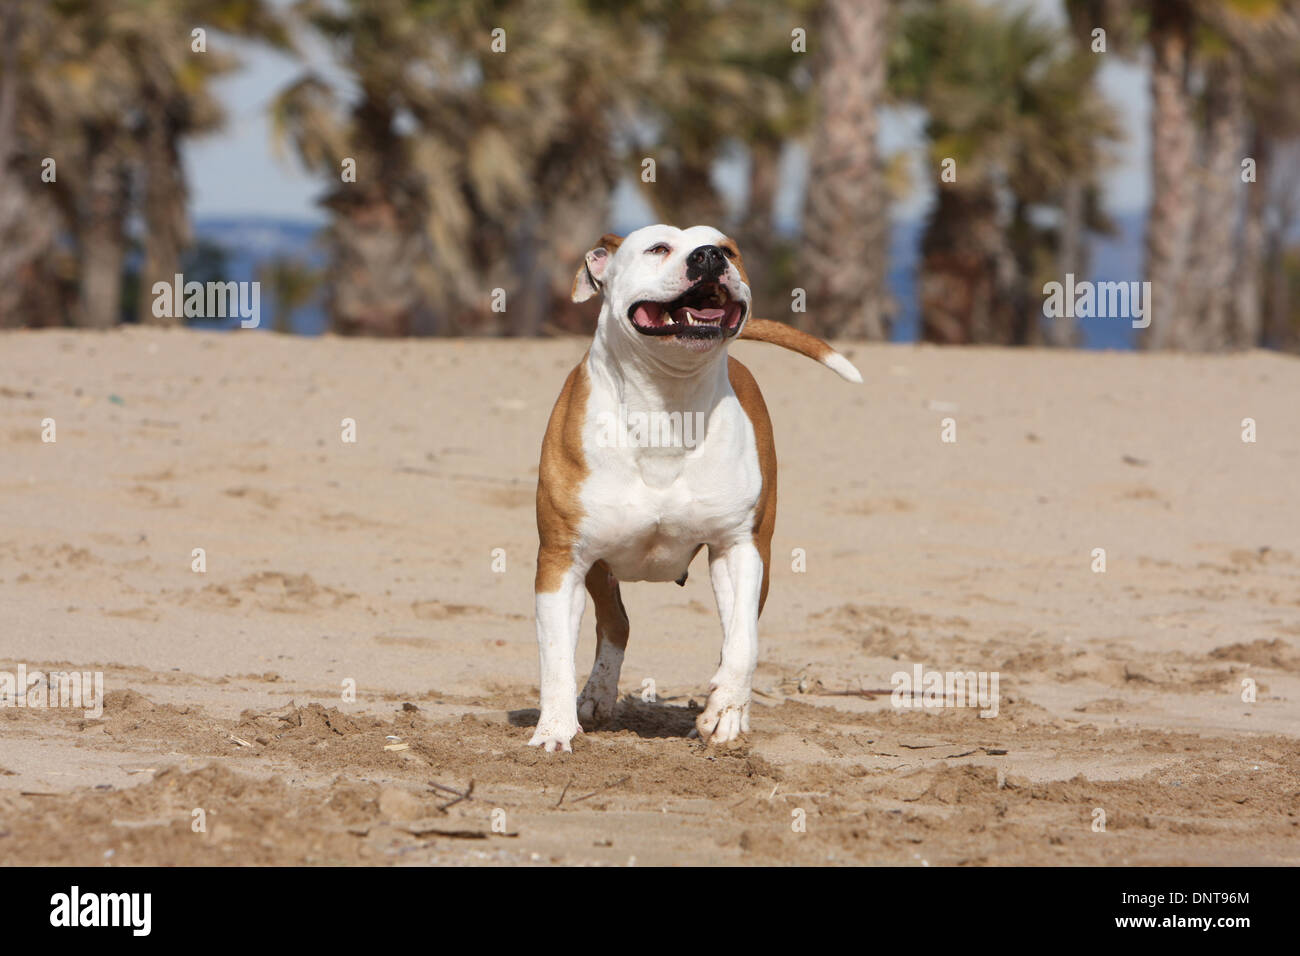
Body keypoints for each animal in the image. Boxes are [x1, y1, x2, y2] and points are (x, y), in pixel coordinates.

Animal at [527, 226, 863, 754]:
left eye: (728, 249)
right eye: (657, 248)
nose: (709, 256)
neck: (669, 403)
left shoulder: (740, 548)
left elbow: (742, 642)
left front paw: (724, 711)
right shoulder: (562, 559)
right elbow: (557, 653)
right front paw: (555, 731)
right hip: (598, 563)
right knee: (615, 623)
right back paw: (596, 697)